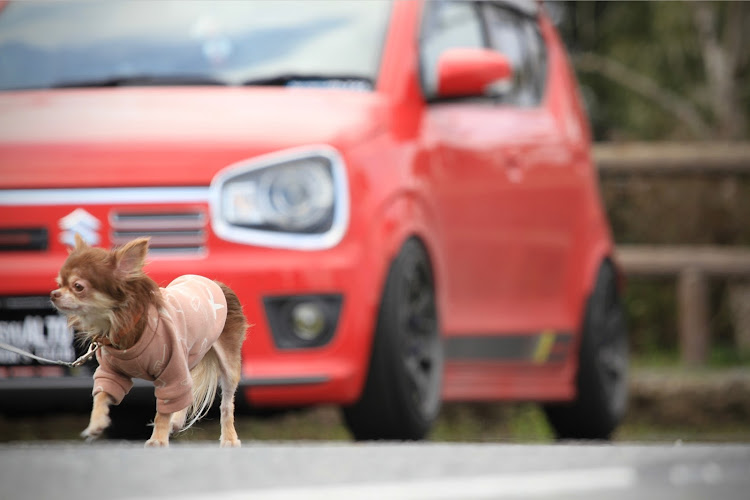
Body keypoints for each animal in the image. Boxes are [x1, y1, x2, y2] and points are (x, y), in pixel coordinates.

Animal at [50, 236, 250, 448]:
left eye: (78, 287)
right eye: (59, 283)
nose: (53, 294)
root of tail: (216, 283)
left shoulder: (172, 374)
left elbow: (163, 410)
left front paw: (158, 439)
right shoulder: (111, 372)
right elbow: (102, 395)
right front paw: (96, 423)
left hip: (227, 364)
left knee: (226, 404)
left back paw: (229, 438)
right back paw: (177, 421)